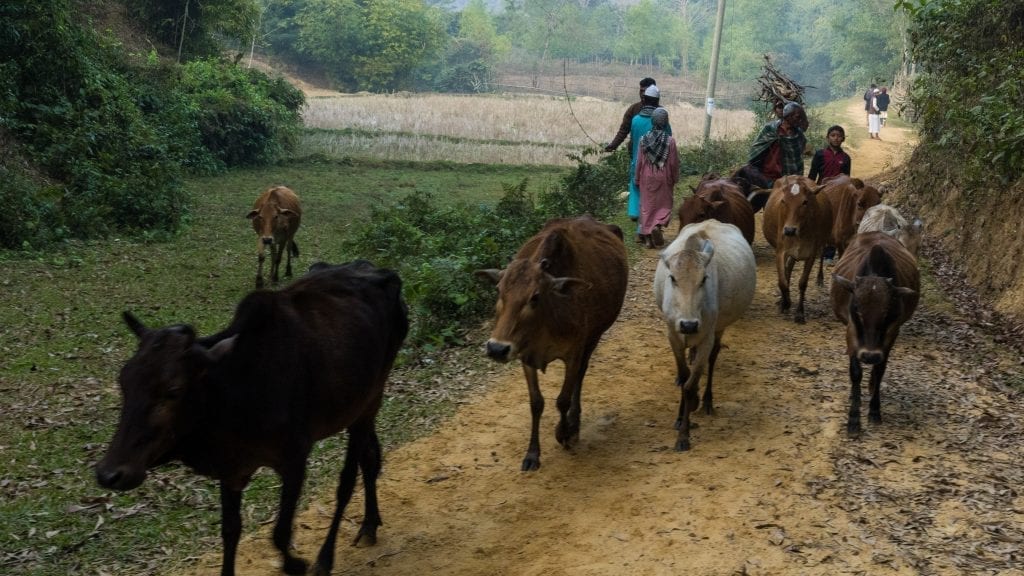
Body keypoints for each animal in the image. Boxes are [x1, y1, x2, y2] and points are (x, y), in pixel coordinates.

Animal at [95, 261, 407, 573]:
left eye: (173, 390)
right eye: (124, 383)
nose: (109, 474)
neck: (237, 389)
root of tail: (375, 269)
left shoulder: (295, 460)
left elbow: (280, 533)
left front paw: (297, 564)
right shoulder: (232, 469)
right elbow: (231, 531)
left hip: (368, 402)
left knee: (347, 480)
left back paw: (326, 557)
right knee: (370, 458)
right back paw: (369, 525)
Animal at [475, 213, 626, 469]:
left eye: (535, 296)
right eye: (499, 291)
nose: (496, 348)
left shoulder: (573, 353)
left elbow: (563, 399)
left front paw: (564, 433)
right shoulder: (524, 356)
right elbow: (536, 403)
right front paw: (532, 454)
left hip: (593, 337)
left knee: (580, 377)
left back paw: (574, 424)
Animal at [655, 218, 753, 448]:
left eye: (704, 279)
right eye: (672, 278)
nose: (689, 325)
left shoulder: (706, 336)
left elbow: (691, 385)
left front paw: (684, 435)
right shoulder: (673, 335)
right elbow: (684, 379)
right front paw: (680, 417)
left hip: (719, 328)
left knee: (713, 357)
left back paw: (707, 400)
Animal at [761, 174, 831, 323]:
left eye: (805, 202)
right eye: (783, 201)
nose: (789, 230)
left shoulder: (811, 254)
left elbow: (802, 283)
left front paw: (799, 313)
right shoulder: (780, 251)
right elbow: (782, 281)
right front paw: (786, 303)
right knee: (787, 271)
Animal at [831, 231, 921, 434]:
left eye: (887, 313)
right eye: (857, 310)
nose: (870, 356)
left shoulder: (892, 332)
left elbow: (880, 370)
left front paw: (874, 410)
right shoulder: (851, 330)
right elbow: (856, 372)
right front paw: (854, 419)